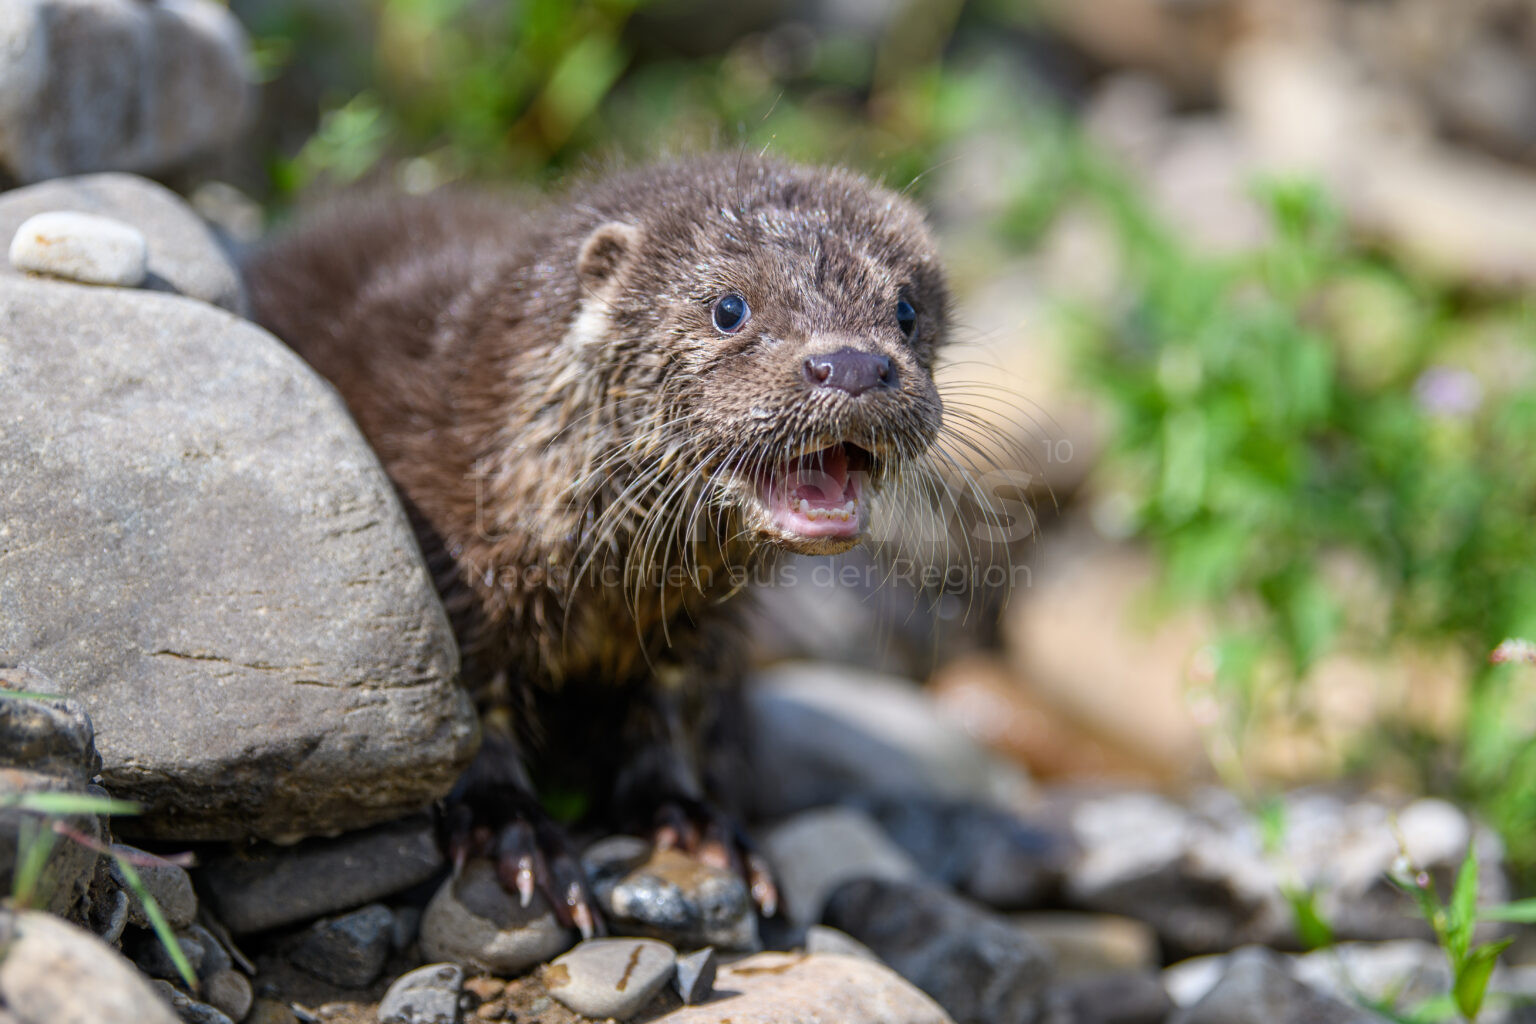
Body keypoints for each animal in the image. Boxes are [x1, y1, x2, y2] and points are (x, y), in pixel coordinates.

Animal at [242, 151, 946, 939]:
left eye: (907, 310)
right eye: (729, 308)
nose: (852, 365)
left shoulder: (694, 635)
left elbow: (664, 721)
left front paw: (697, 821)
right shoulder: (458, 589)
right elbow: (469, 724)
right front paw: (516, 832)